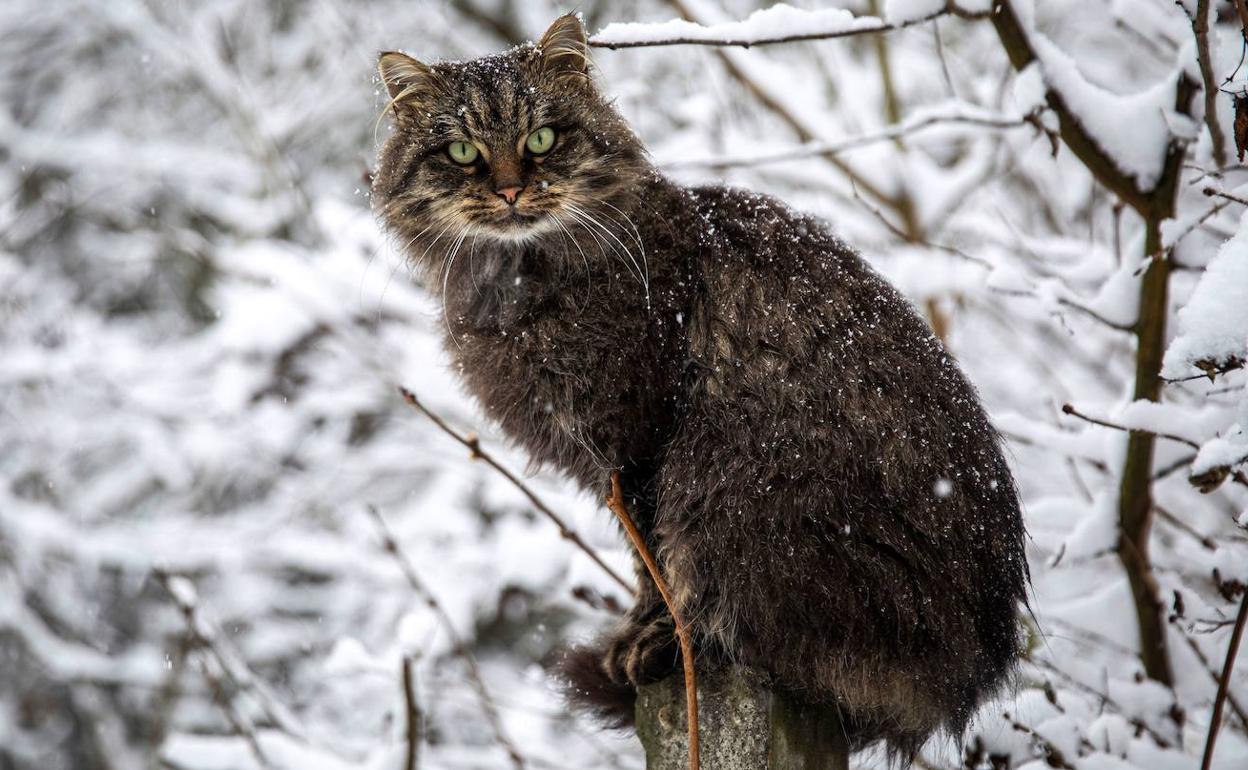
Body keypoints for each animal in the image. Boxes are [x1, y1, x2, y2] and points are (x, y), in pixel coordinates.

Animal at [374, 14, 1028, 758]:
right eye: (460, 151)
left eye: (542, 138)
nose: (510, 189)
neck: (515, 281)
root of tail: (963, 683)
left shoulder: (638, 441)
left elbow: (651, 564)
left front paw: (649, 633)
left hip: (739, 490)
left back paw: (680, 650)